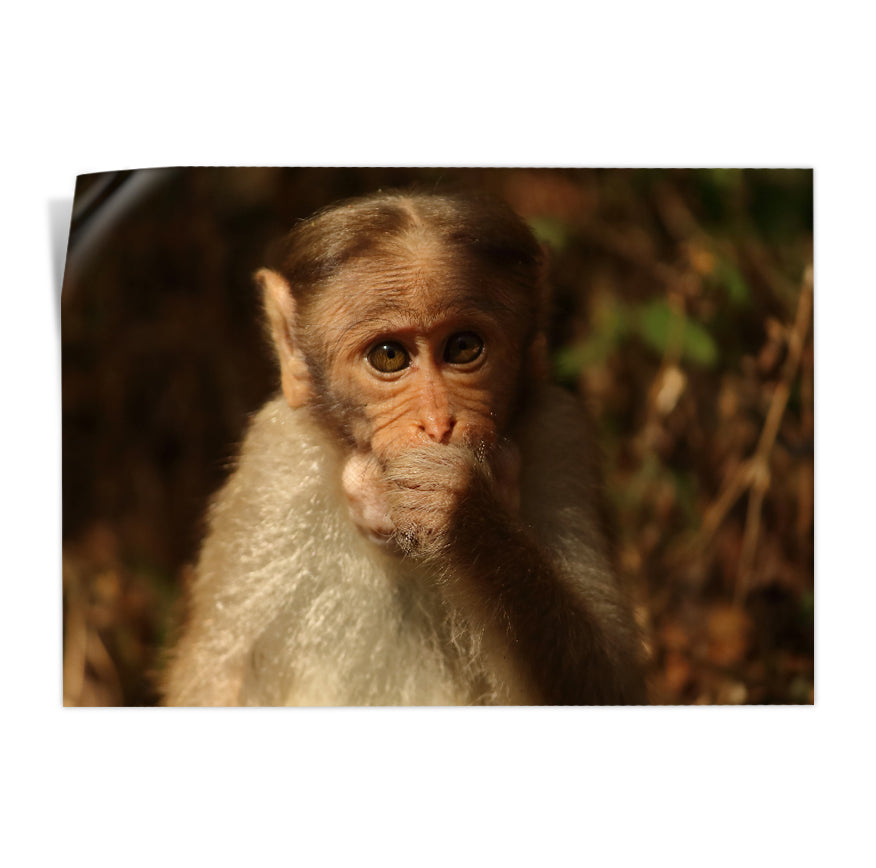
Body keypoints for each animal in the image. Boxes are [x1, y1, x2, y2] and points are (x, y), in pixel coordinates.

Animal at [162, 190, 647, 706]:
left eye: (463, 348)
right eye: (389, 356)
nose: (437, 425)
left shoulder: (563, 437)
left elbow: (610, 680)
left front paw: (462, 511)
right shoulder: (275, 463)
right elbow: (219, 680)